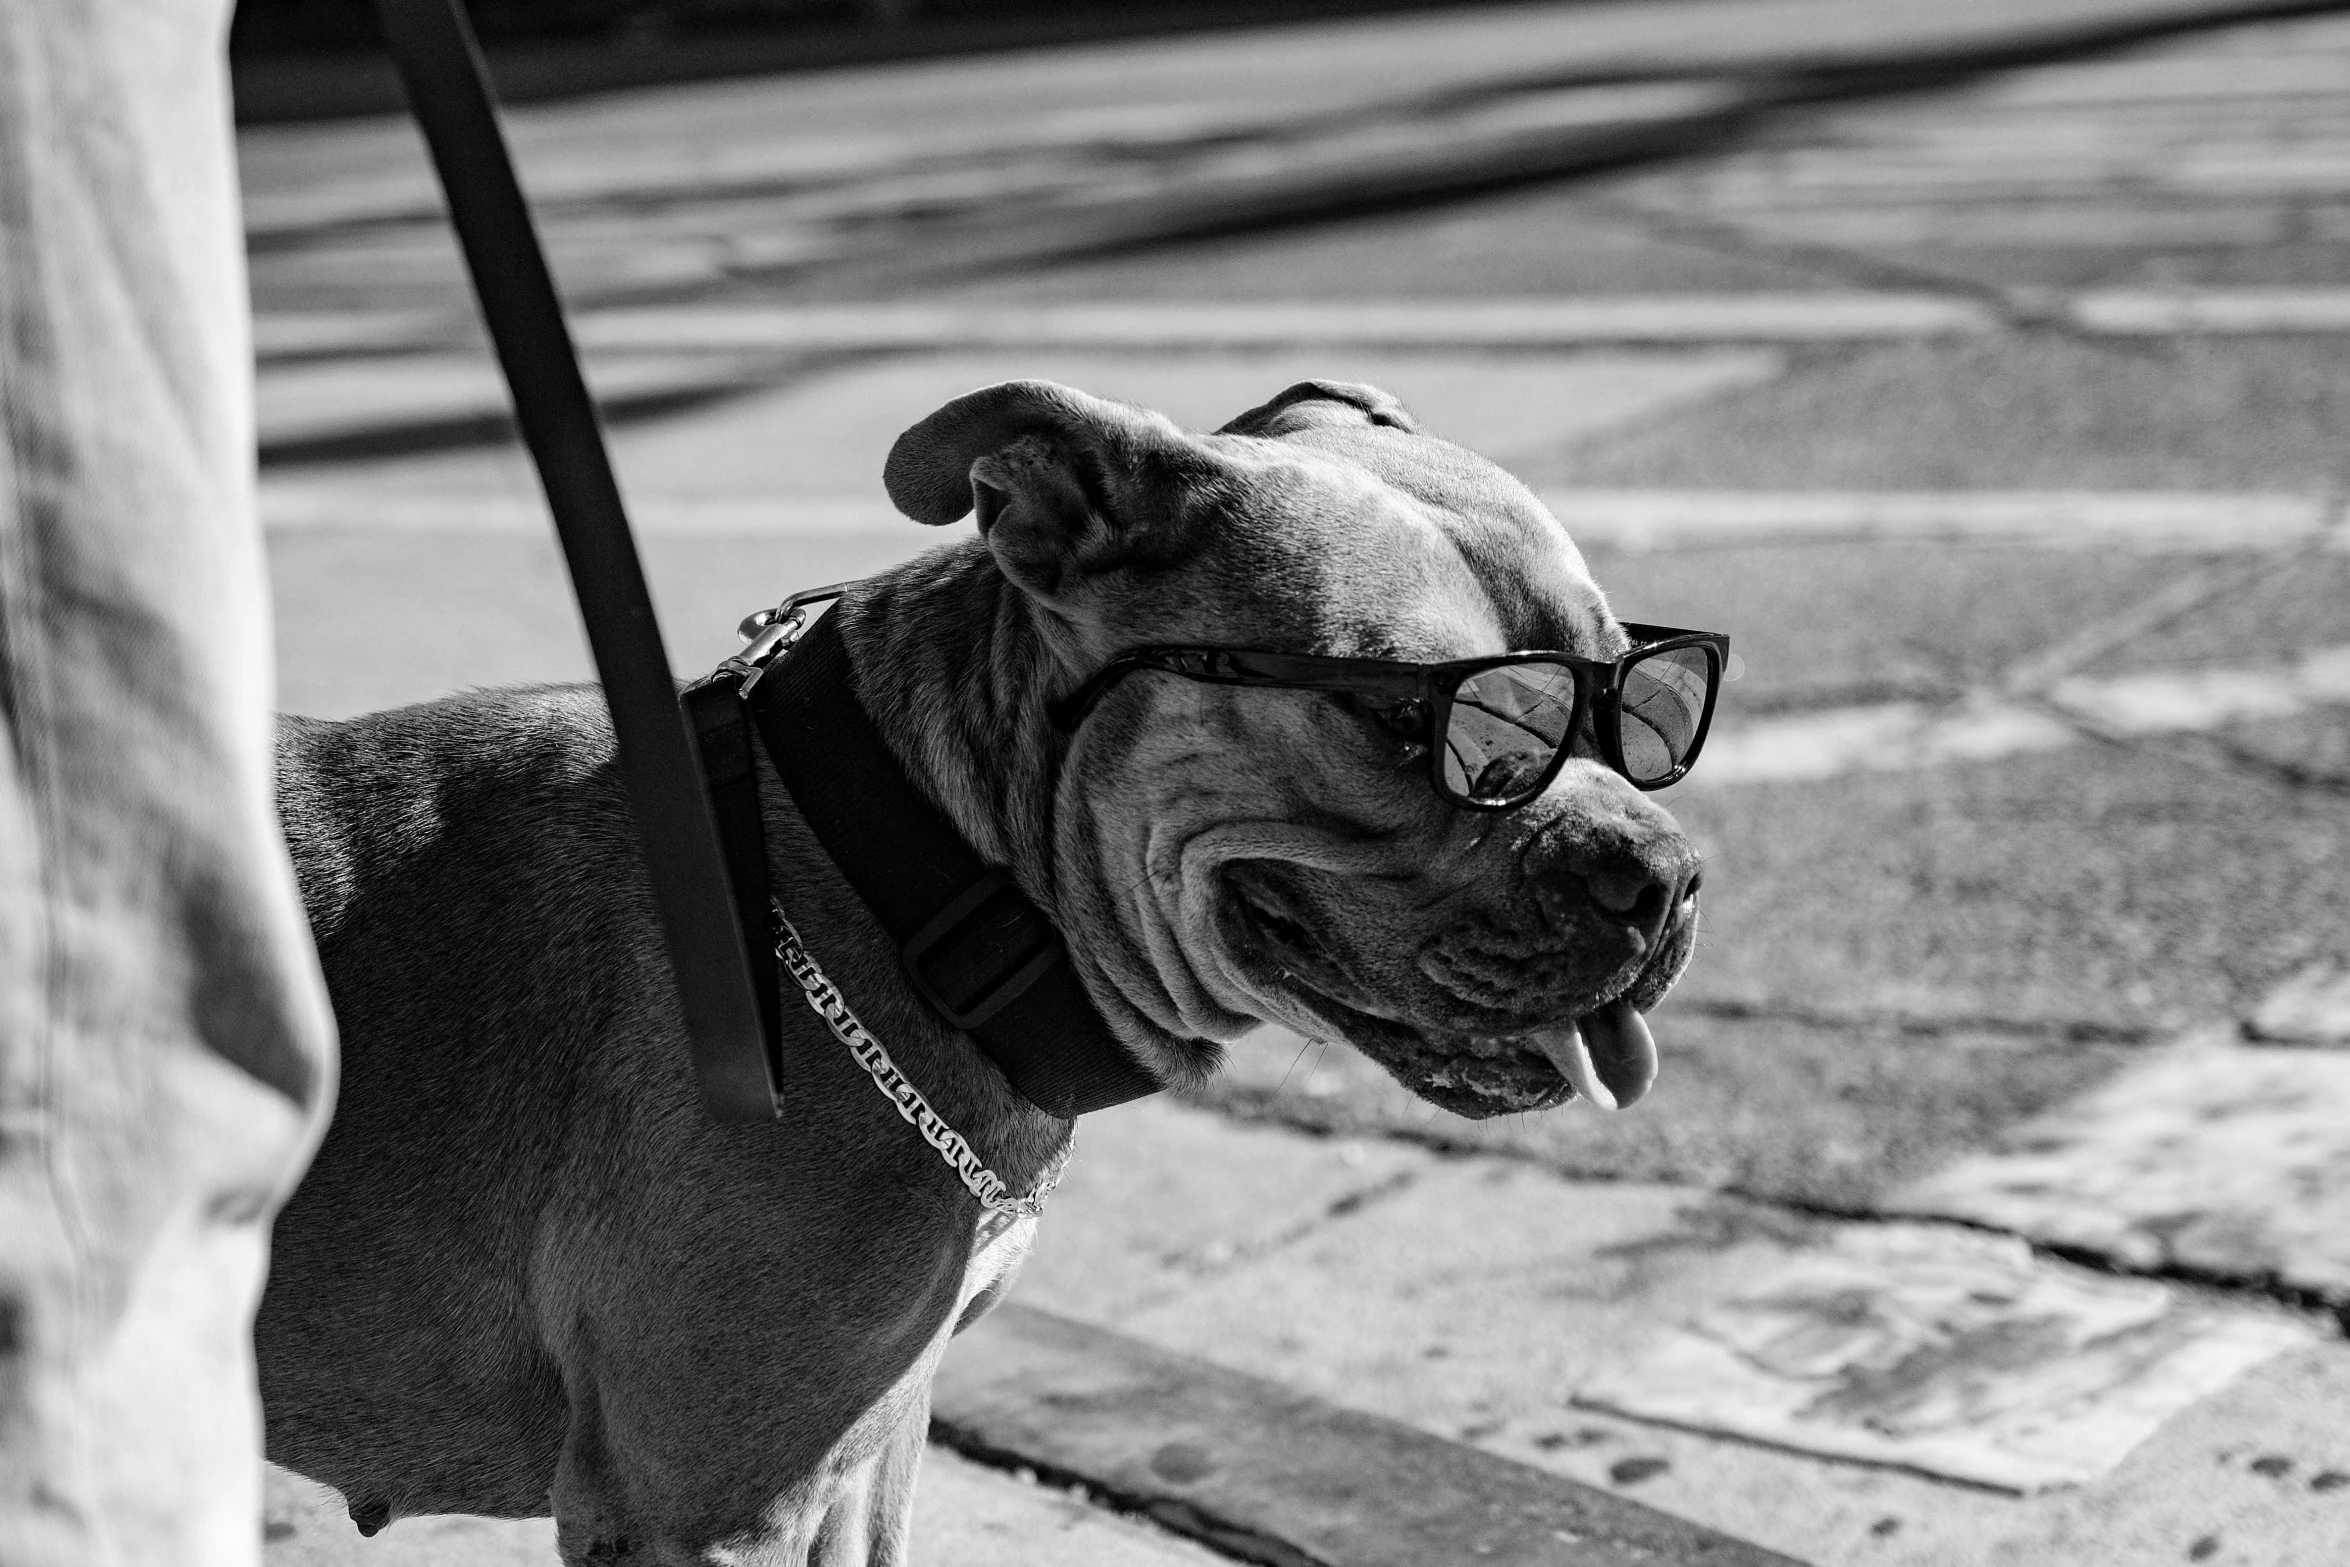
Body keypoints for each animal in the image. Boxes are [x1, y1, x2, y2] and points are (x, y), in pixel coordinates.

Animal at [257, 382, 1710, 1567]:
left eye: (1648, 699)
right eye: (1431, 722)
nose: (1664, 873)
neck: (924, 883)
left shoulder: (863, 1447)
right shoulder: (705, 1504)